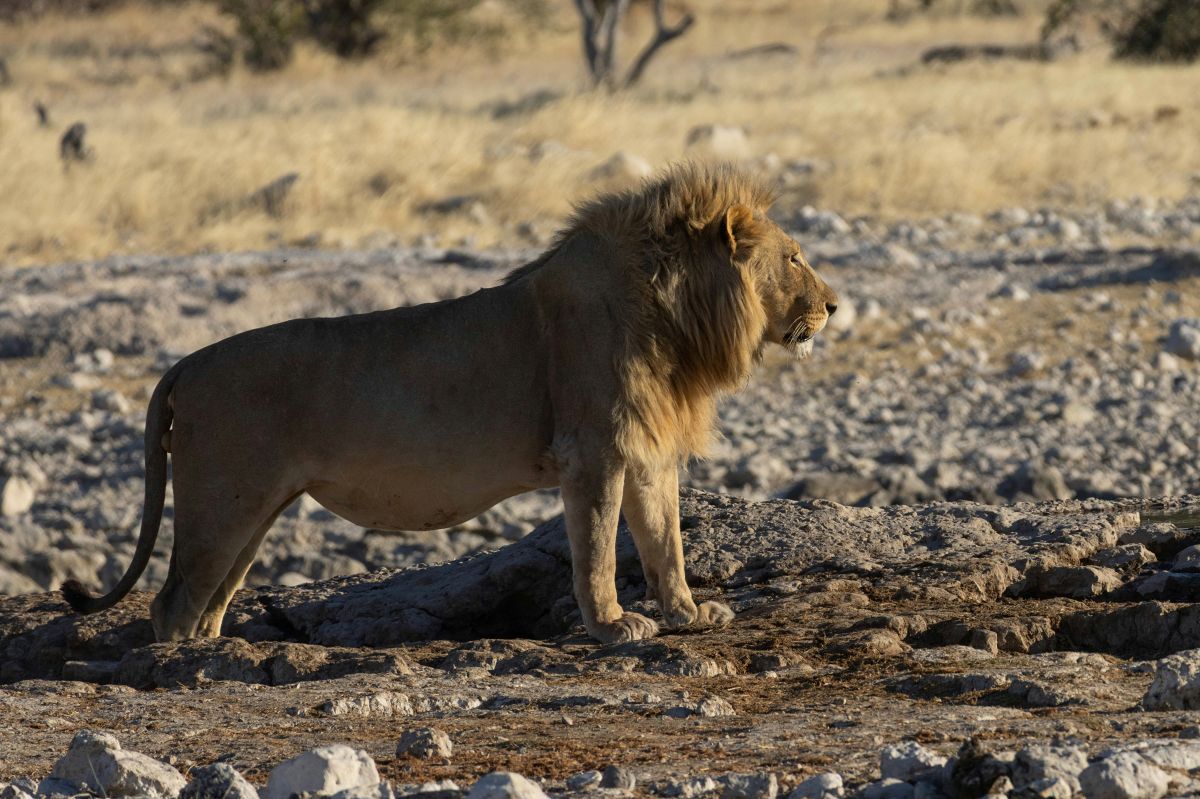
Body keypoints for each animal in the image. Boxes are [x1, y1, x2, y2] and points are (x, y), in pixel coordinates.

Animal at [63, 162, 839, 645]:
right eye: (795, 258)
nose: (834, 305)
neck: (679, 317)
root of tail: (185, 363)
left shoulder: (646, 449)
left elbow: (664, 541)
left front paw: (687, 613)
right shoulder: (591, 451)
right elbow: (594, 550)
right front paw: (614, 627)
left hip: (252, 510)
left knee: (209, 600)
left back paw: (214, 651)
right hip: (222, 499)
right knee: (171, 603)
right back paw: (184, 666)